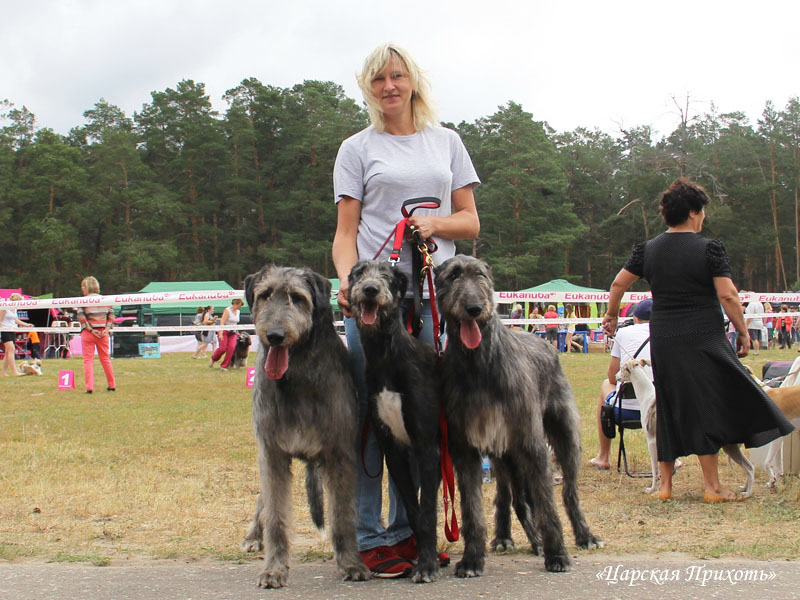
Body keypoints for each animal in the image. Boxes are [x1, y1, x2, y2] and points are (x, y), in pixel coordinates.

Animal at [616, 358, 752, 494]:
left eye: (621, 368)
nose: (615, 376)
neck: (647, 395)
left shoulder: (652, 441)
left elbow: (654, 469)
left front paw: (652, 489)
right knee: (750, 467)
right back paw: (745, 489)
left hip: (730, 446)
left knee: (750, 468)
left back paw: (747, 492)